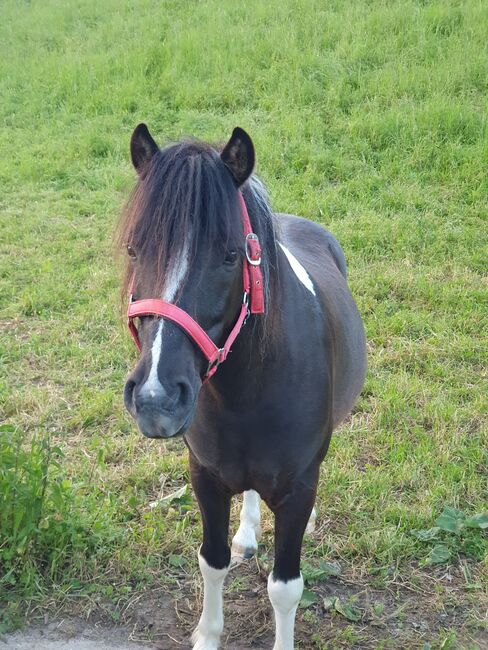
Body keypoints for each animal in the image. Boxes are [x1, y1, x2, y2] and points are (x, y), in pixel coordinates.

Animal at [117, 123, 366, 648]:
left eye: (231, 255)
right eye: (133, 248)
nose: (155, 398)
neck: (247, 393)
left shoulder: (296, 489)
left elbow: (285, 587)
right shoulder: (205, 477)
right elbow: (212, 562)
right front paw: (207, 635)